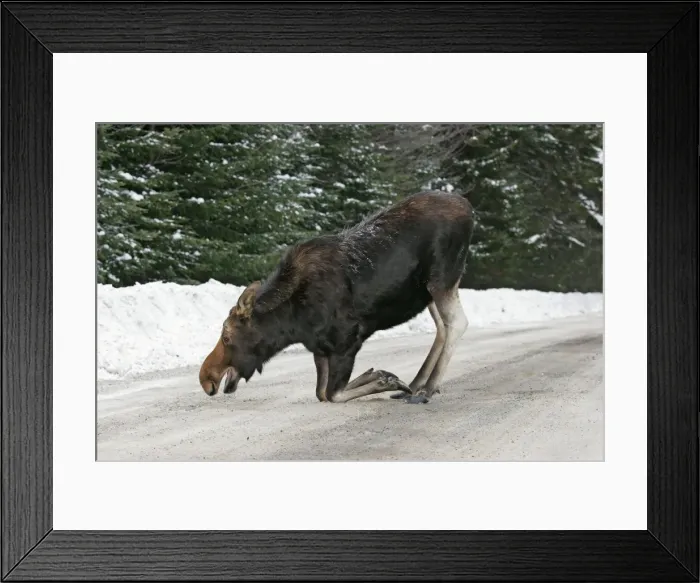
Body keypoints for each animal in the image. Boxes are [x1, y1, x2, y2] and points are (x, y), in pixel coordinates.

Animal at [199, 190, 474, 405]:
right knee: (442, 328)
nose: (205, 378)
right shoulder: (320, 349)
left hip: (442, 278)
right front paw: (383, 377)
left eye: (226, 336)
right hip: (429, 290)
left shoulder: (348, 340)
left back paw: (427, 388)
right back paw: (417, 384)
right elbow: (322, 392)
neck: (291, 325)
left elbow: (333, 393)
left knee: (457, 323)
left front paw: (384, 379)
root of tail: (469, 209)